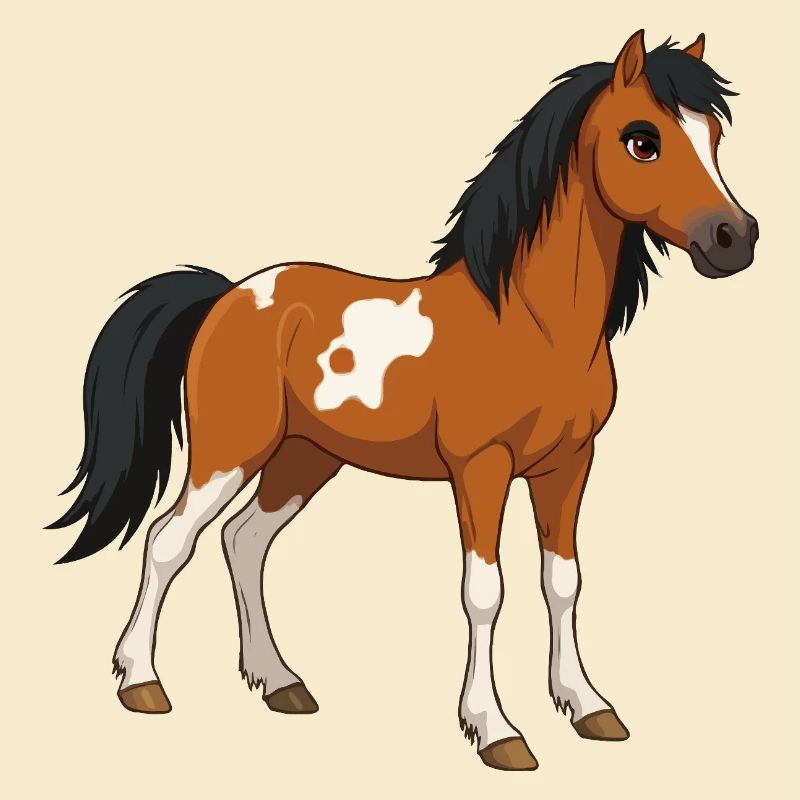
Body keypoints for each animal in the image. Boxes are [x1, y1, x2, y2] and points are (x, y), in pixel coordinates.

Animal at [49, 30, 758, 771]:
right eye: (642, 140)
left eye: (713, 135)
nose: (735, 239)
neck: (531, 324)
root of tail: (229, 294)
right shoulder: (481, 469)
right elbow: (485, 593)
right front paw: (495, 730)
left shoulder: (569, 465)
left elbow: (563, 581)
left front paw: (589, 706)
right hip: (231, 452)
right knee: (169, 541)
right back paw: (141, 682)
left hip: (305, 458)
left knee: (244, 542)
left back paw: (280, 683)